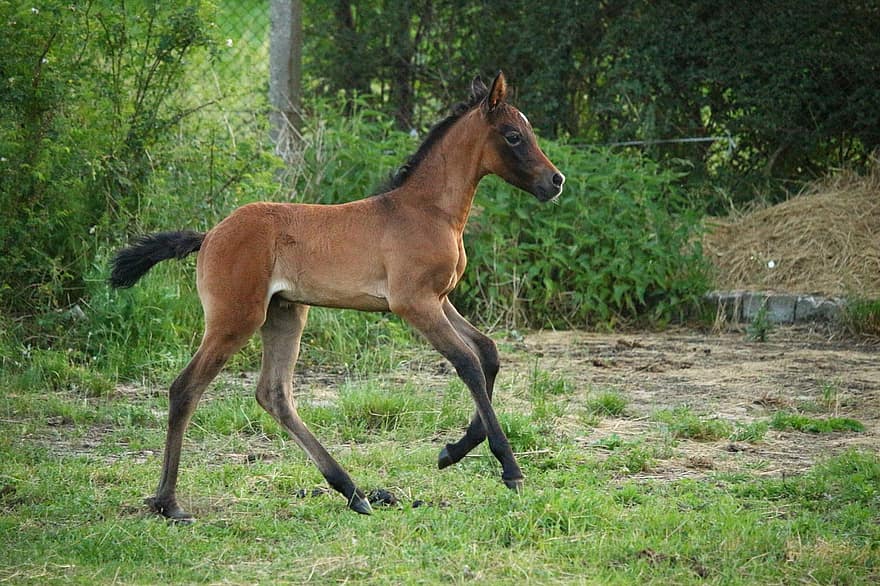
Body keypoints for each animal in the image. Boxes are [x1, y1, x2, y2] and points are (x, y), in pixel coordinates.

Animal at [110, 70, 564, 516]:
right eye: (513, 136)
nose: (555, 182)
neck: (428, 211)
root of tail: (209, 236)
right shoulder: (413, 304)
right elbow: (467, 362)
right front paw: (508, 467)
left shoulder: (439, 299)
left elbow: (487, 352)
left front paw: (452, 451)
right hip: (235, 320)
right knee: (185, 388)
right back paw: (168, 502)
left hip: (285, 314)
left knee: (274, 395)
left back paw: (353, 491)